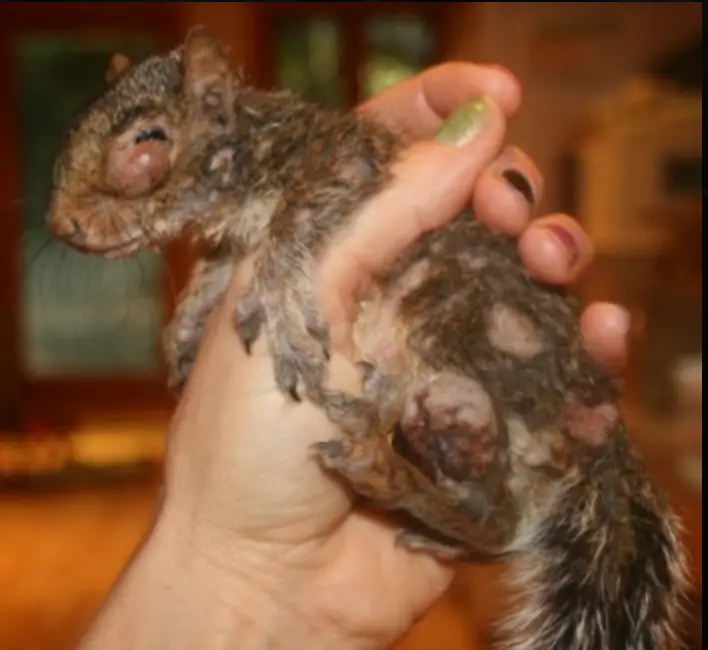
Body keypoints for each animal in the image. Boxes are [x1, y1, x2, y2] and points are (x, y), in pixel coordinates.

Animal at [48, 27, 687, 650]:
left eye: (146, 143)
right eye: (73, 130)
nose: (61, 225)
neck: (250, 143)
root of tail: (599, 434)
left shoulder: (339, 163)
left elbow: (290, 226)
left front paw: (278, 307)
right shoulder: (235, 238)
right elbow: (213, 270)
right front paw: (186, 328)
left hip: (458, 327)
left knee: (504, 518)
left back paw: (390, 465)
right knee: (496, 517)